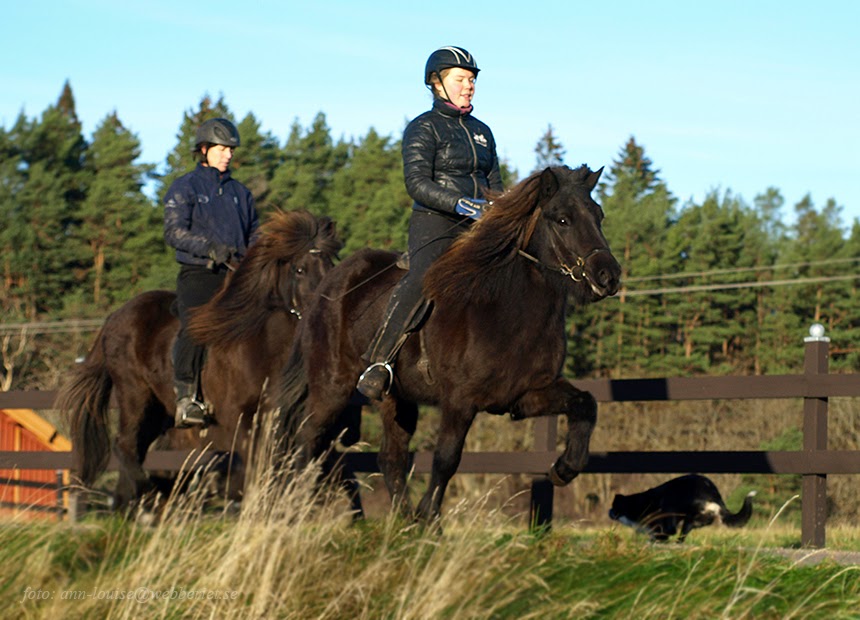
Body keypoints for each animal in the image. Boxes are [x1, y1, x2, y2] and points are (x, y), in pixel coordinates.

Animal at [53, 208, 342, 508]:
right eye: (300, 269)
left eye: (330, 265)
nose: (325, 307)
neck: (259, 341)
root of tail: (114, 317)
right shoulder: (237, 416)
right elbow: (252, 463)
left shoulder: (278, 417)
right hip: (135, 395)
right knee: (125, 446)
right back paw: (149, 497)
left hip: (160, 411)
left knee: (138, 451)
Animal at [278, 166, 620, 524]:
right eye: (562, 219)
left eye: (598, 215)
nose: (608, 276)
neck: (506, 309)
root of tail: (326, 287)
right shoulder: (460, 401)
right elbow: (446, 458)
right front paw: (430, 518)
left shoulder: (525, 396)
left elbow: (586, 404)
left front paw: (564, 469)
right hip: (331, 387)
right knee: (306, 442)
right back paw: (292, 509)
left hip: (395, 398)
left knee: (390, 458)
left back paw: (401, 522)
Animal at [608, 474, 756, 544]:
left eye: (613, 506)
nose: (608, 511)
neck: (637, 503)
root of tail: (713, 495)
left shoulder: (661, 524)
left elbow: (660, 534)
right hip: (692, 521)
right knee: (682, 535)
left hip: (675, 510)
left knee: (674, 532)